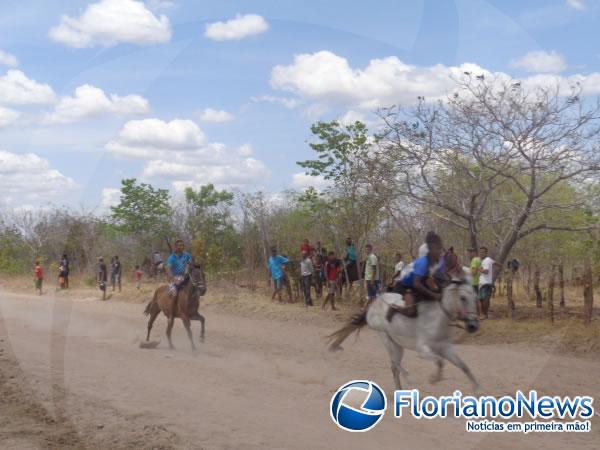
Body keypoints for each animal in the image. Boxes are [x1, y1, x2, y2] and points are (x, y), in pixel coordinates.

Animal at [326, 278, 480, 390]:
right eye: (463, 298)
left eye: (475, 297)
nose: (473, 325)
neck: (439, 317)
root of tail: (373, 305)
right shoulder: (422, 350)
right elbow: (440, 362)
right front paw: (433, 379)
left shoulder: (446, 349)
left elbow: (463, 366)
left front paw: (477, 389)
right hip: (386, 339)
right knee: (395, 364)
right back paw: (409, 378)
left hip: (397, 344)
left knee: (394, 366)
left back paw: (400, 389)